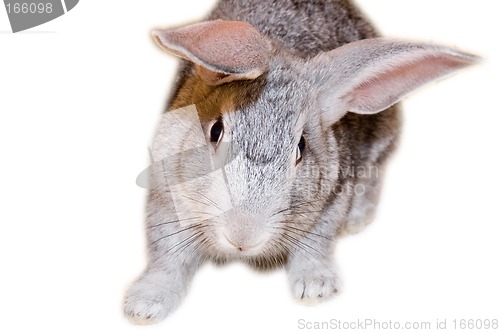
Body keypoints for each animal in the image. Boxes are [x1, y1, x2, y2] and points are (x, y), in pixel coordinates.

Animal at [123, 0, 478, 322]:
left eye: (301, 148)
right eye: (216, 131)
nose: (243, 237)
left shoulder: (331, 201)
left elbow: (315, 244)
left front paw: (316, 288)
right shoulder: (166, 203)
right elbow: (168, 258)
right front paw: (144, 306)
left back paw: (357, 219)